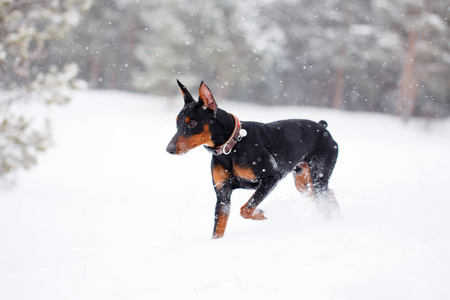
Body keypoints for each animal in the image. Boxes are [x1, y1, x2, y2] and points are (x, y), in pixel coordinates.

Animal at [166, 80, 338, 239]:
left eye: (192, 123)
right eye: (176, 123)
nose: (169, 149)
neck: (232, 148)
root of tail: (323, 127)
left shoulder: (271, 178)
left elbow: (245, 209)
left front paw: (260, 213)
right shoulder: (223, 195)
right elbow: (218, 231)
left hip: (318, 176)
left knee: (324, 197)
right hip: (302, 181)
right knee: (327, 193)